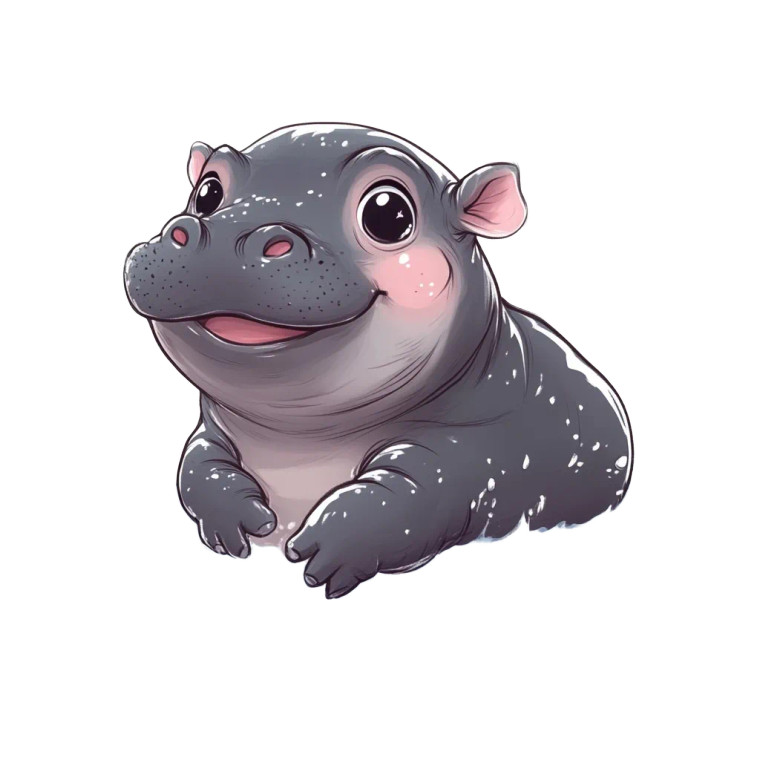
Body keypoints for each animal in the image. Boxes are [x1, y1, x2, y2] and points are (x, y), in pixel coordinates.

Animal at [124, 123, 632, 598]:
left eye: (387, 213)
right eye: (207, 192)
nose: (225, 234)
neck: (300, 443)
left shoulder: (487, 445)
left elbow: (420, 490)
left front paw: (330, 550)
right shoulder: (213, 427)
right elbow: (196, 467)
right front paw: (232, 526)